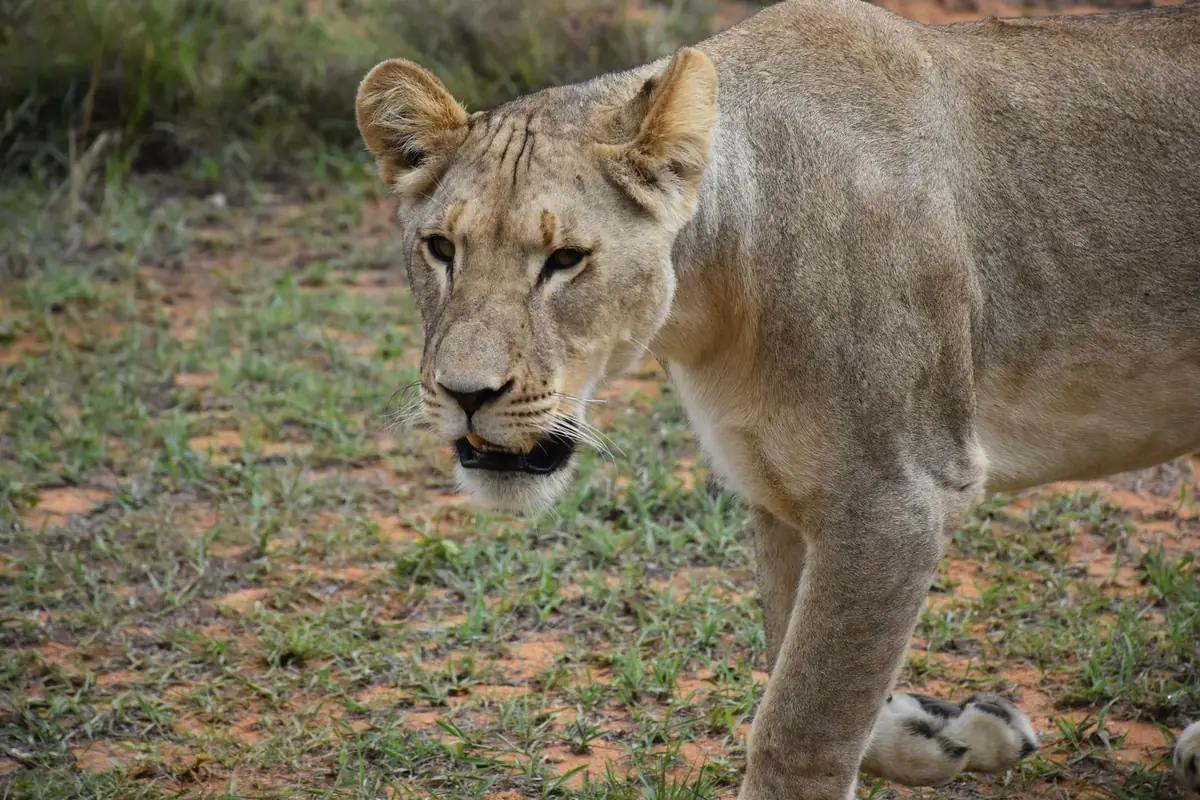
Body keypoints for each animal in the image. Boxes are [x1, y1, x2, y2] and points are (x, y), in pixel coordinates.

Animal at [354, 0, 1200, 796]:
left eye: (565, 260)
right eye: (441, 249)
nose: (465, 393)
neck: (712, 300)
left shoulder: (895, 498)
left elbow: (800, 729)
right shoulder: (784, 490)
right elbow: (806, 673)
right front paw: (950, 734)